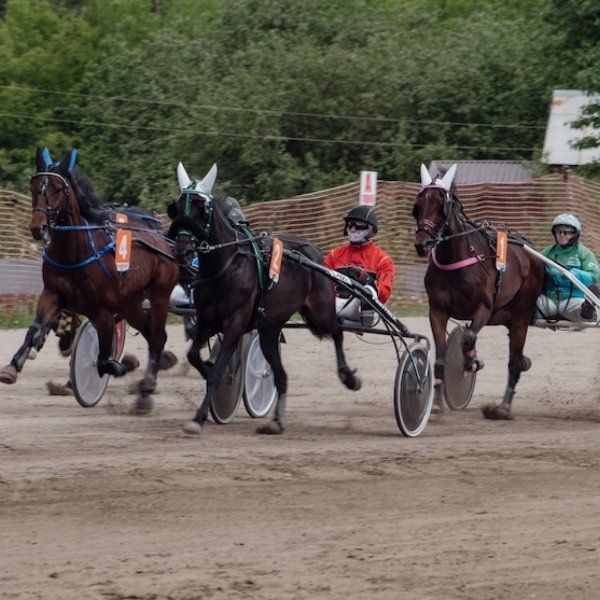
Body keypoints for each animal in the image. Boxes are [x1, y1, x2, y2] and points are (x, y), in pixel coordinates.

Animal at [0, 149, 179, 412]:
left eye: (58, 189)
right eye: (33, 186)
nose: (37, 227)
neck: (76, 252)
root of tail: (163, 241)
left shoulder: (100, 310)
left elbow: (104, 359)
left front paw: (123, 365)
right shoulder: (52, 294)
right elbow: (34, 330)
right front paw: (12, 367)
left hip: (159, 296)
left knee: (157, 337)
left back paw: (146, 388)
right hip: (131, 304)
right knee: (150, 333)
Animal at [165, 162, 360, 434]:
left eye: (202, 209)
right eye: (176, 207)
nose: (182, 251)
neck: (226, 266)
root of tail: (313, 251)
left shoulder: (235, 323)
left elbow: (216, 371)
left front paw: (199, 416)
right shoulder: (207, 320)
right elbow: (194, 355)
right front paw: (208, 371)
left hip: (320, 311)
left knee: (337, 331)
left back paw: (348, 377)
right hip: (270, 328)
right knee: (281, 374)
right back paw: (277, 421)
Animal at [412, 162, 544, 420]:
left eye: (441, 206)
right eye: (419, 205)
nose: (422, 244)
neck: (457, 260)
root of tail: (530, 251)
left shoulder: (484, 308)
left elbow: (468, 337)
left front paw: (472, 362)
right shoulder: (437, 311)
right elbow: (441, 356)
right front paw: (436, 405)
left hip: (522, 312)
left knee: (514, 362)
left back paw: (502, 408)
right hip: (507, 316)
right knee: (516, 356)